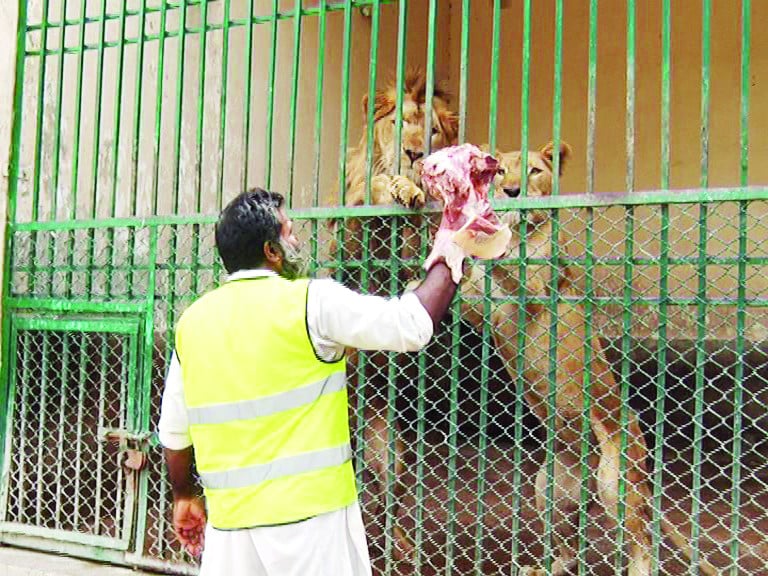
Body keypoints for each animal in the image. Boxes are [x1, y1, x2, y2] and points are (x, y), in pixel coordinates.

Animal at [462, 141, 720, 576]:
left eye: (533, 172)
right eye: (499, 173)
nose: (512, 192)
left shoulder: (535, 294)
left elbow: (514, 272)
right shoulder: (482, 314)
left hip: (615, 480)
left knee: (643, 541)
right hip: (548, 487)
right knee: (571, 548)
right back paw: (542, 568)